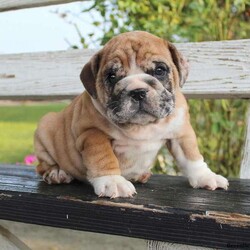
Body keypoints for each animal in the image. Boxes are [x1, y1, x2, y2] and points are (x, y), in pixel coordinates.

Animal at [34, 30, 229, 197]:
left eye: (159, 70)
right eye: (112, 76)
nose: (137, 91)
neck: (142, 126)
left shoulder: (181, 132)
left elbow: (191, 155)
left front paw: (205, 176)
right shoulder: (92, 134)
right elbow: (103, 157)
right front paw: (113, 181)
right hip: (45, 128)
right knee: (43, 165)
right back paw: (57, 173)